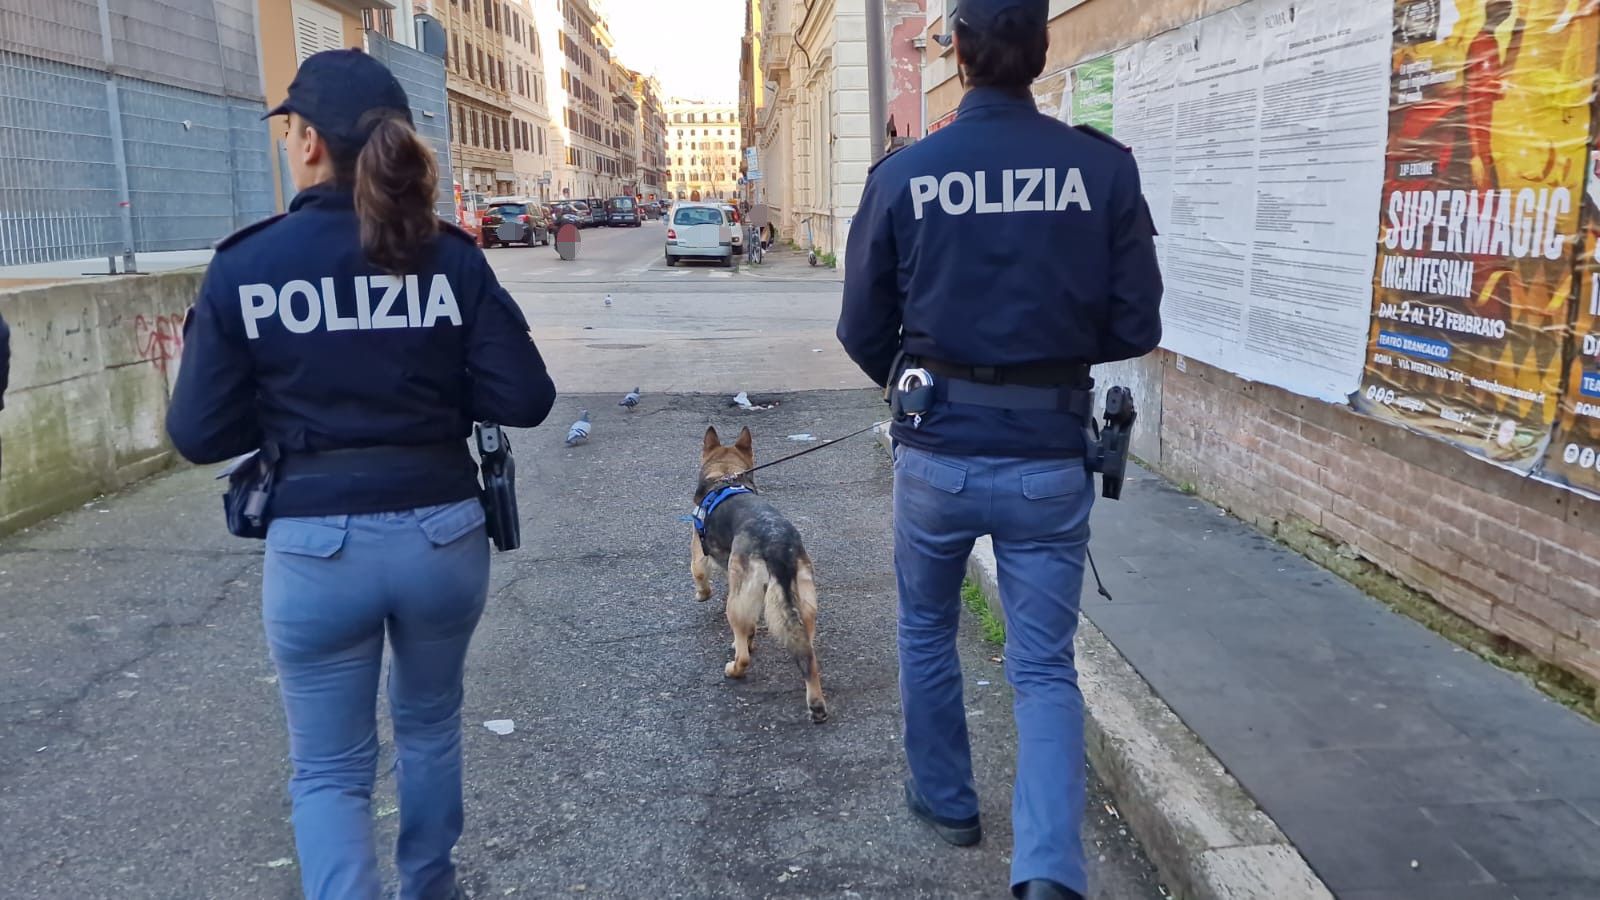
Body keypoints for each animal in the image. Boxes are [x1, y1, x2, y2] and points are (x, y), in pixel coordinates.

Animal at [694, 425, 832, 720]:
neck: (724, 473)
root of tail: (777, 544)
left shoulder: (698, 550)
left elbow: (699, 573)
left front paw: (701, 594)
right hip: (803, 605)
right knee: (808, 655)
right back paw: (816, 703)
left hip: (735, 605)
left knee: (744, 653)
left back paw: (735, 667)